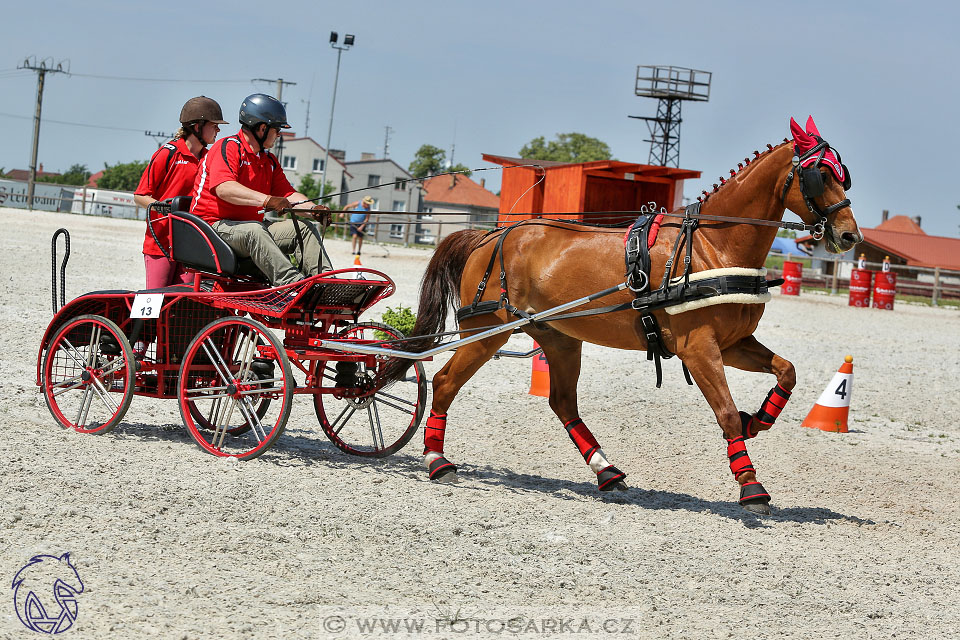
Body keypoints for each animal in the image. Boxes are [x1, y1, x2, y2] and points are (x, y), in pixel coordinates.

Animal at [388, 116, 864, 516]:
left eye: (843, 173)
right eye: (820, 174)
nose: (849, 236)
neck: (711, 247)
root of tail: (490, 235)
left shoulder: (732, 345)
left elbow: (787, 372)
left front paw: (757, 421)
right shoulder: (699, 349)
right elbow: (726, 413)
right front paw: (751, 485)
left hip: (559, 337)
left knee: (562, 402)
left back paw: (606, 471)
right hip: (488, 331)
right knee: (445, 382)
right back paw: (436, 461)